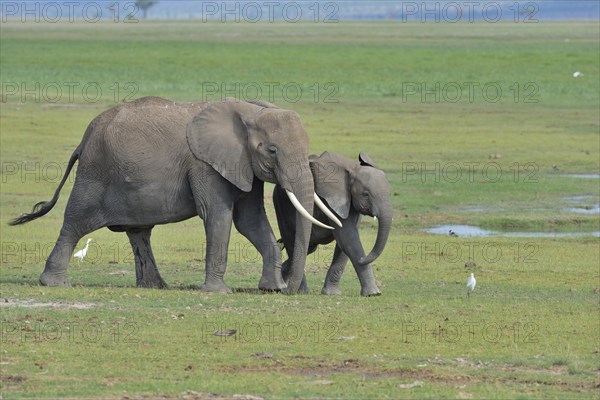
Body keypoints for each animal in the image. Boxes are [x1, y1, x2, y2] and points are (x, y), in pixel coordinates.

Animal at [10, 95, 332, 292]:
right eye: (272, 150)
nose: (291, 288)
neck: (249, 110)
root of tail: (85, 137)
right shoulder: (205, 164)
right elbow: (218, 215)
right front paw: (219, 291)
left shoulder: (241, 165)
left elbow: (249, 221)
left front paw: (272, 289)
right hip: (95, 171)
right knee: (75, 222)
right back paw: (54, 284)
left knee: (139, 232)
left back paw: (154, 286)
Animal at [274, 152, 394, 296]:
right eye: (366, 194)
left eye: (389, 193)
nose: (363, 258)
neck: (353, 169)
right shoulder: (329, 201)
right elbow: (348, 238)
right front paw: (373, 293)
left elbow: (344, 243)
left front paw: (332, 293)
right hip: (281, 205)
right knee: (292, 243)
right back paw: (300, 291)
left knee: (308, 248)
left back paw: (282, 282)